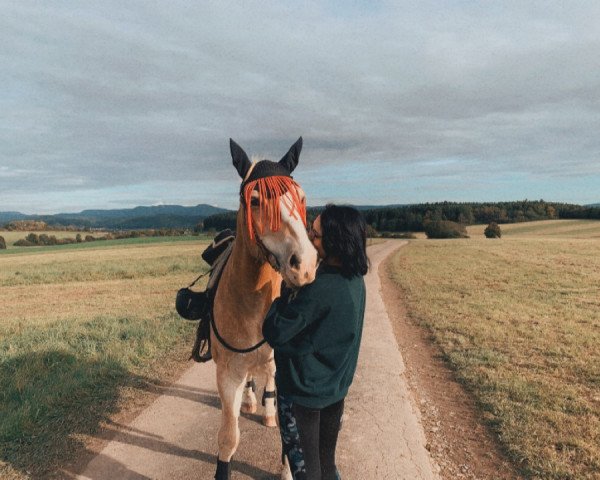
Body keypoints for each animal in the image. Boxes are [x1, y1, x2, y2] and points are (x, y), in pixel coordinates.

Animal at [211, 137, 318, 478]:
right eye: (255, 201)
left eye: (300, 197)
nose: (304, 265)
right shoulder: (228, 372)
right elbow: (229, 436)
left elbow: (290, 430)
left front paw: (287, 469)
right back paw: (250, 400)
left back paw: (268, 408)